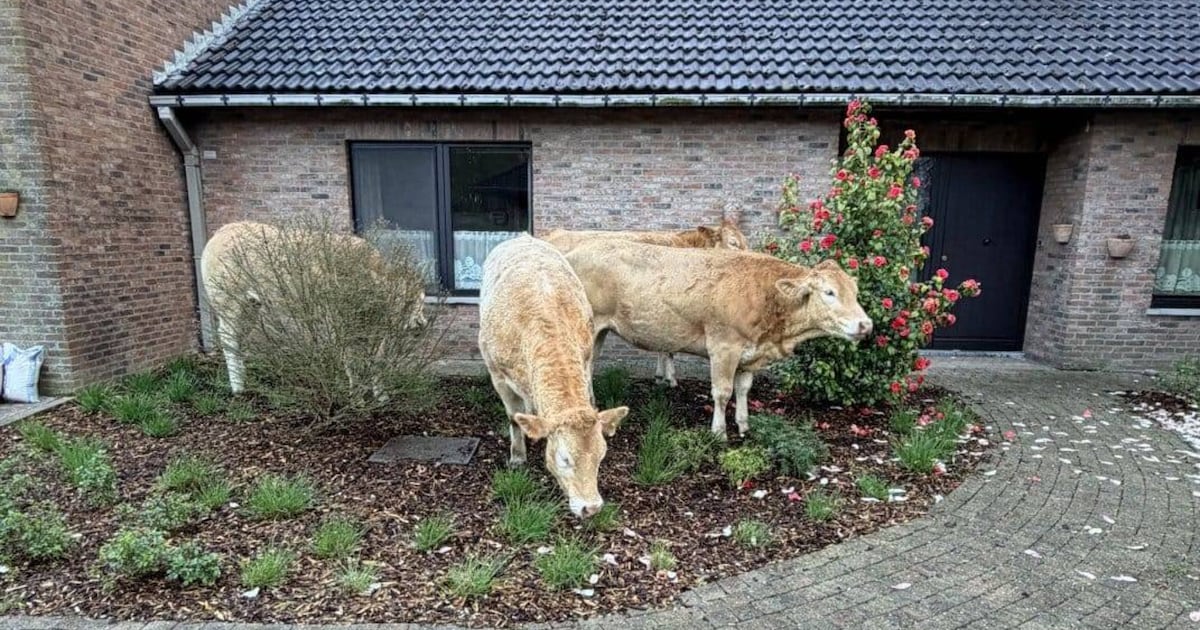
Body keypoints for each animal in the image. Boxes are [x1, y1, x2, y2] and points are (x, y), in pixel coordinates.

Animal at [200, 220, 427, 394]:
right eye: (410, 301)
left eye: (423, 299)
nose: (422, 323)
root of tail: (222, 231)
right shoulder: (338, 321)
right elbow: (351, 361)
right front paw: (357, 399)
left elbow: (377, 361)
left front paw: (381, 398)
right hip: (228, 302)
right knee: (228, 338)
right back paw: (237, 388)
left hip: (251, 306)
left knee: (238, 338)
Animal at [478, 234, 629, 518]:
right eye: (565, 459)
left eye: (601, 456)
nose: (591, 508)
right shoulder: (498, 375)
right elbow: (513, 417)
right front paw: (517, 456)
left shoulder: (586, 358)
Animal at [563, 241, 872, 438]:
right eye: (829, 292)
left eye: (855, 292)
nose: (866, 324)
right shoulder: (724, 347)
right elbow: (722, 393)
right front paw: (719, 432)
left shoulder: (749, 355)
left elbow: (743, 390)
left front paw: (744, 425)